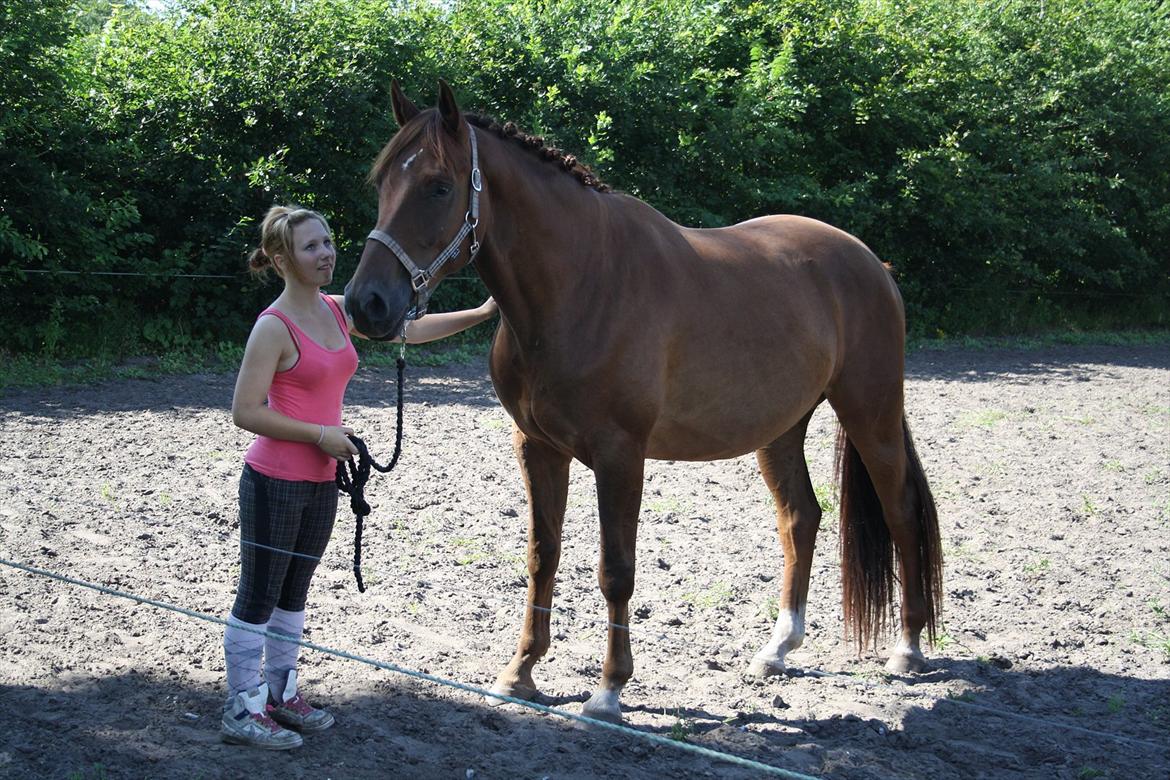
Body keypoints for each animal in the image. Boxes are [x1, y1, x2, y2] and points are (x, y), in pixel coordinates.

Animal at [343, 82, 940, 725]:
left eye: (438, 186)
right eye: (382, 184)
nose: (365, 304)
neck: (581, 287)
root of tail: (870, 263)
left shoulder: (620, 456)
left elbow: (616, 571)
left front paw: (608, 690)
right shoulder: (538, 448)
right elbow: (542, 557)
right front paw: (520, 672)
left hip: (870, 414)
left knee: (900, 510)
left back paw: (907, 648)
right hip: (781, 430)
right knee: (801, 518)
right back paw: (777, 649)